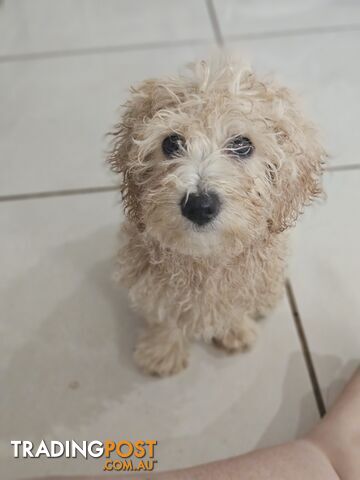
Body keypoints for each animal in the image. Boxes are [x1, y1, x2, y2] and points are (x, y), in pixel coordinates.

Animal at [107, 58, 326, 376]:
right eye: (171, 143)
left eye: (242, 145)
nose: (199, 206)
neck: (206, 260)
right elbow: (164, 311)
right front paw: (162, 351)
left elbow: (235, 305)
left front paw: (234, 331)